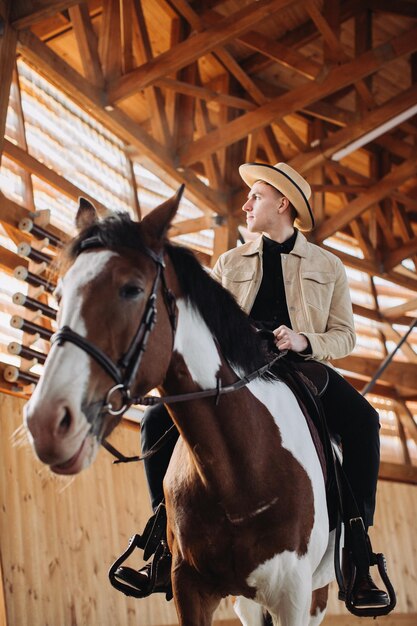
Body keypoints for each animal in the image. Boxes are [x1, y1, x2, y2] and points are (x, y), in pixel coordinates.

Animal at [23, 190, 334, 624]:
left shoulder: (293, 595)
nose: (46, 422)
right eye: (59, 295)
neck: (238, 471)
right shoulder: (190, 589)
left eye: (132, 289)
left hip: (315, 595)